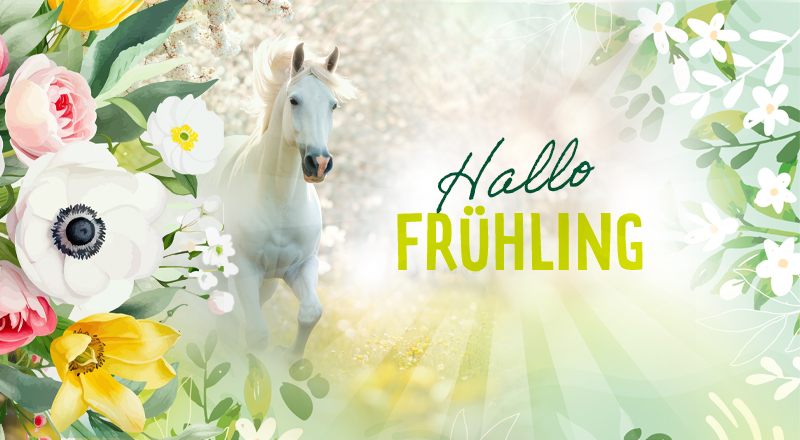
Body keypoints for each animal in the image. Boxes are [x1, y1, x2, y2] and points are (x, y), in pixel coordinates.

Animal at [204, 37, 358, 359]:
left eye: (333, 105)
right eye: (294, 100)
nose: (319, 163)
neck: (280, 201)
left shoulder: (301, 267)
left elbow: (311, 313)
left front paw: (290, 358)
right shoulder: (246, 269)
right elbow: (257, 334)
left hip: (268, 282)